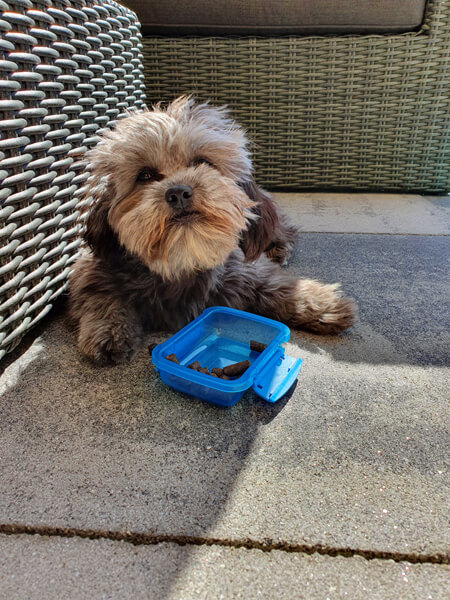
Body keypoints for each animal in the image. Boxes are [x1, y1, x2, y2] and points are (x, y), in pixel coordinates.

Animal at [69, 96, 356, 364]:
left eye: (203, 162)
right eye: (145, 175)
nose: (178, 193)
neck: (182, 258)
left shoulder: (245, 270)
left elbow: (279, 286)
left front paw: (323, 304)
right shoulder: (94, 272)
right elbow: (102, 298)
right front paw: (108, 332)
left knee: (285, 230)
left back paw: (280, 249)